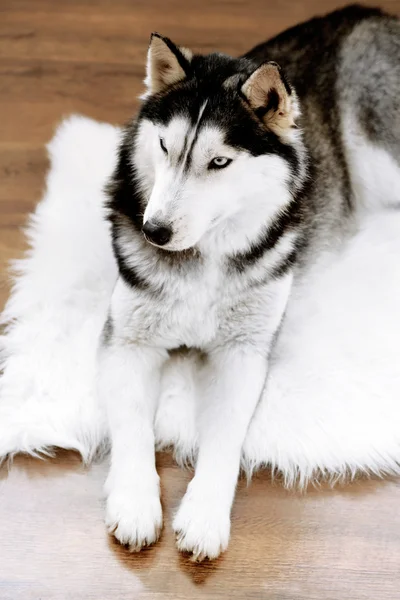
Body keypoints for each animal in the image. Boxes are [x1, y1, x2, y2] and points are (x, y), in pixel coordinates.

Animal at [97, 3, 400, 556]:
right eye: (164, 147)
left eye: (219, 162)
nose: (155, 231)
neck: (203, 258)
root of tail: (373, 14)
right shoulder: (127, 341)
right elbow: (131, 424)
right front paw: (133, 501)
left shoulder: (243, 352)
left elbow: (222, 438)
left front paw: (204, 515)